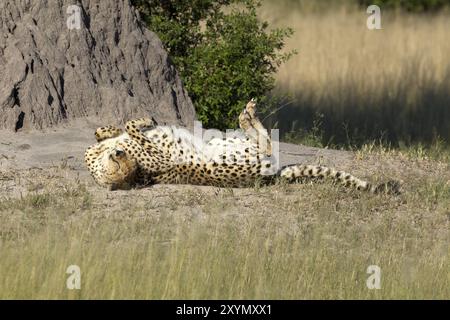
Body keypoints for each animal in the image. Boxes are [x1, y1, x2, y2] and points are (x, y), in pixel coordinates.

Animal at [84, 99, 400, 195]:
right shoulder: (155, 157)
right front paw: (144, 120)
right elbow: (131, 126)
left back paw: (247, 112)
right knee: (267, 143)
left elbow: (109, 129)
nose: (119, 154)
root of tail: (271, 177)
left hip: (228, 141)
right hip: (244, 154)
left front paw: (112, 129)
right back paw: (247, 112)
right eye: (120, 167)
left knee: (262, 137)